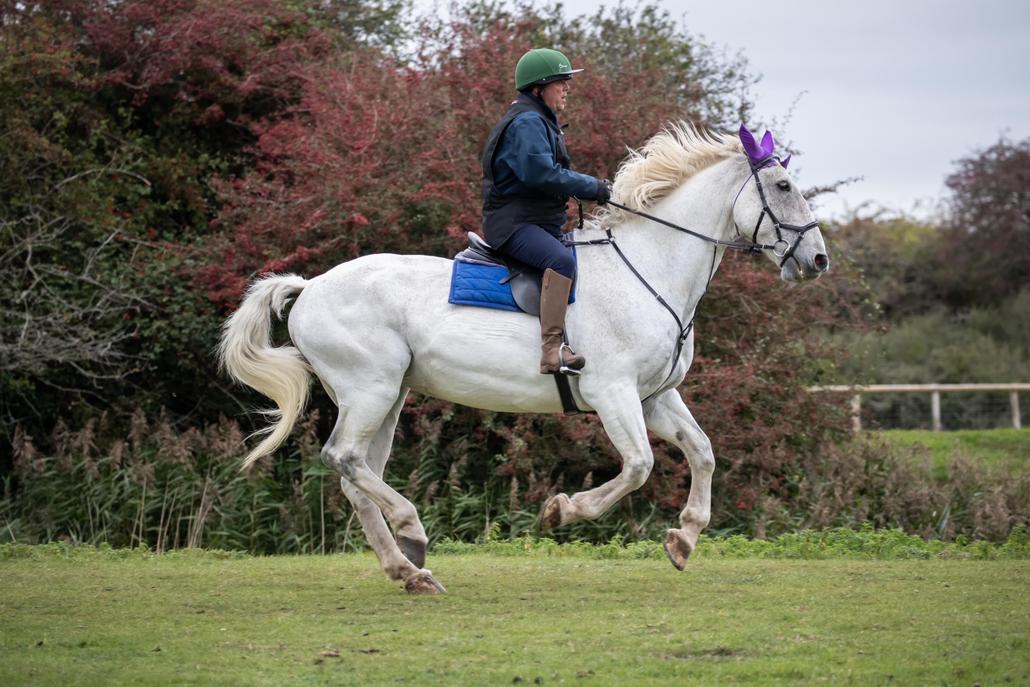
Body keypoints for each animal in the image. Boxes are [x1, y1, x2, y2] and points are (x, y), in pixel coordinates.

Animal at [217, 122, 828, 593]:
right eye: (782, 185)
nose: (818, 260)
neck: (648, 270)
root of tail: (310, 287)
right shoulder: (613, 393)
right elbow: (638, 466)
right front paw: (564, 510)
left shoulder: (655, 397)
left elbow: (702, 453)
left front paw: (683, 539)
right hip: (370, 390)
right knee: (344, 458)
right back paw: (414, 534)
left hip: (385, 399)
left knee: (356, 474)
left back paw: (408, 570)